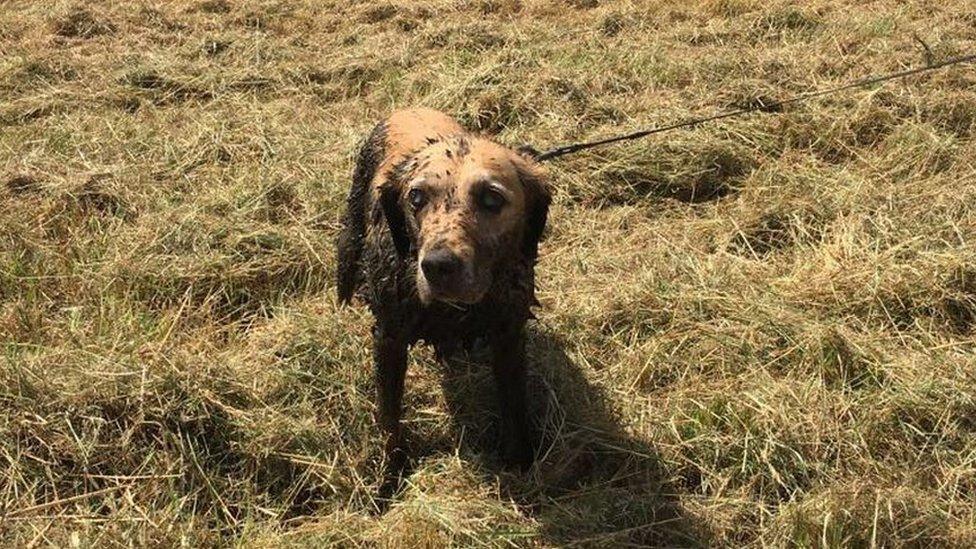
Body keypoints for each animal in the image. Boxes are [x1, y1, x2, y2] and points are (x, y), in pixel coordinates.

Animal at [336, 108, 548, 470]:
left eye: (492, 198)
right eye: (416, 197)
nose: (438, 266)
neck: (452, 312)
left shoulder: (508, 335)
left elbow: (514, 402)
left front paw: (520, 459)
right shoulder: (389, 339)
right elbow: (389, 415)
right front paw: (392, 468)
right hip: (352, 234)